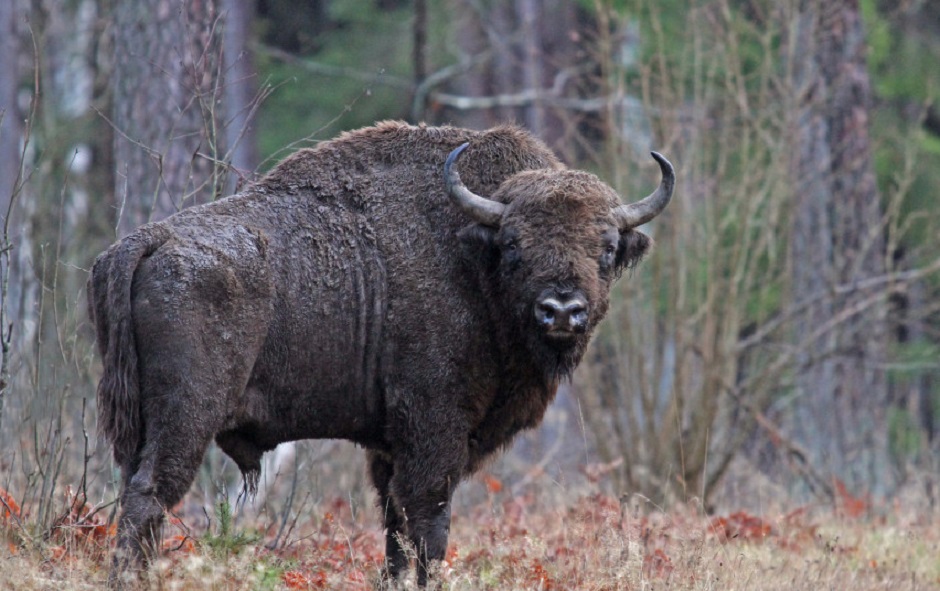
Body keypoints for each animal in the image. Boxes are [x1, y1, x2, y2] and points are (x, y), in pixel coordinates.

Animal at [88, 121, 672, 588]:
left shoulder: (388, 447)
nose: (561, 310)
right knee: (150, 493)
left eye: (607, 248)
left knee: (132, 491)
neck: (471, 258)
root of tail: (146, 240)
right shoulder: (432, 431)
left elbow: (396, 529)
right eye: (513, 246)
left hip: (138, 421)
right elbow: (428, 524)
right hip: (187, 416)